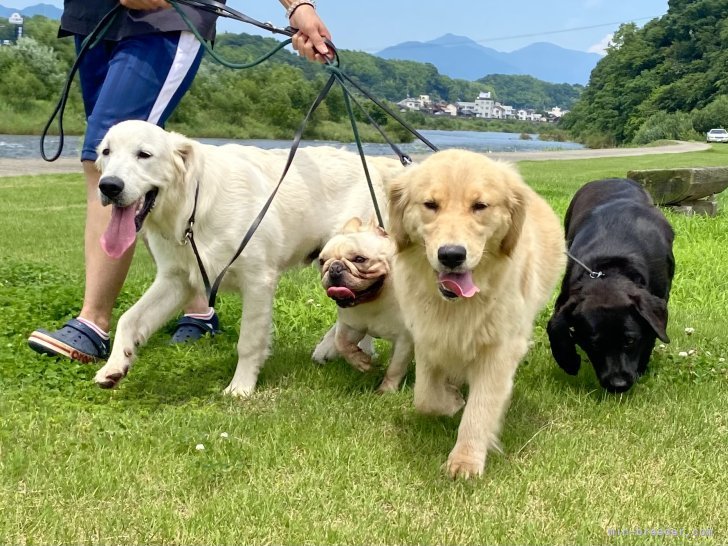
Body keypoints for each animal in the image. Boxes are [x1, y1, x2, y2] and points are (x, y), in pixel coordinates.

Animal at [91, 120, 404, 396]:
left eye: (144, 154)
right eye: (106, 152)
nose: (109, 186)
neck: (192, 207)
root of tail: (375, 164)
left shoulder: (258, 280)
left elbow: (249, 342)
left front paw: (240, 388)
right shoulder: (175, 279)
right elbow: (129, 319)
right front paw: (114, 366)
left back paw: (329, 348)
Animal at [548, 178, 672, 392]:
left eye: (630, 341)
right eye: (594, 345)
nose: (618, 384)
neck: (613, 265)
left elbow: (651, 335)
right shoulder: (566, 296)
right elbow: (555, 327)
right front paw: (569, 361)